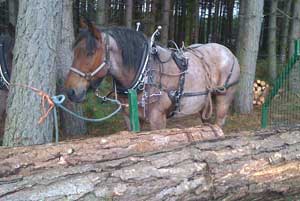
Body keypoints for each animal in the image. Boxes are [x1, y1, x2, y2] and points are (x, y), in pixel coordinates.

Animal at [64, 20, 240, 130]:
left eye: (91, 52)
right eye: (74, 52)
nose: (70, 91)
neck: (143, 74)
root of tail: (230, 53)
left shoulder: (158, 120)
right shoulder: (130, 118)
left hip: (224, 100)